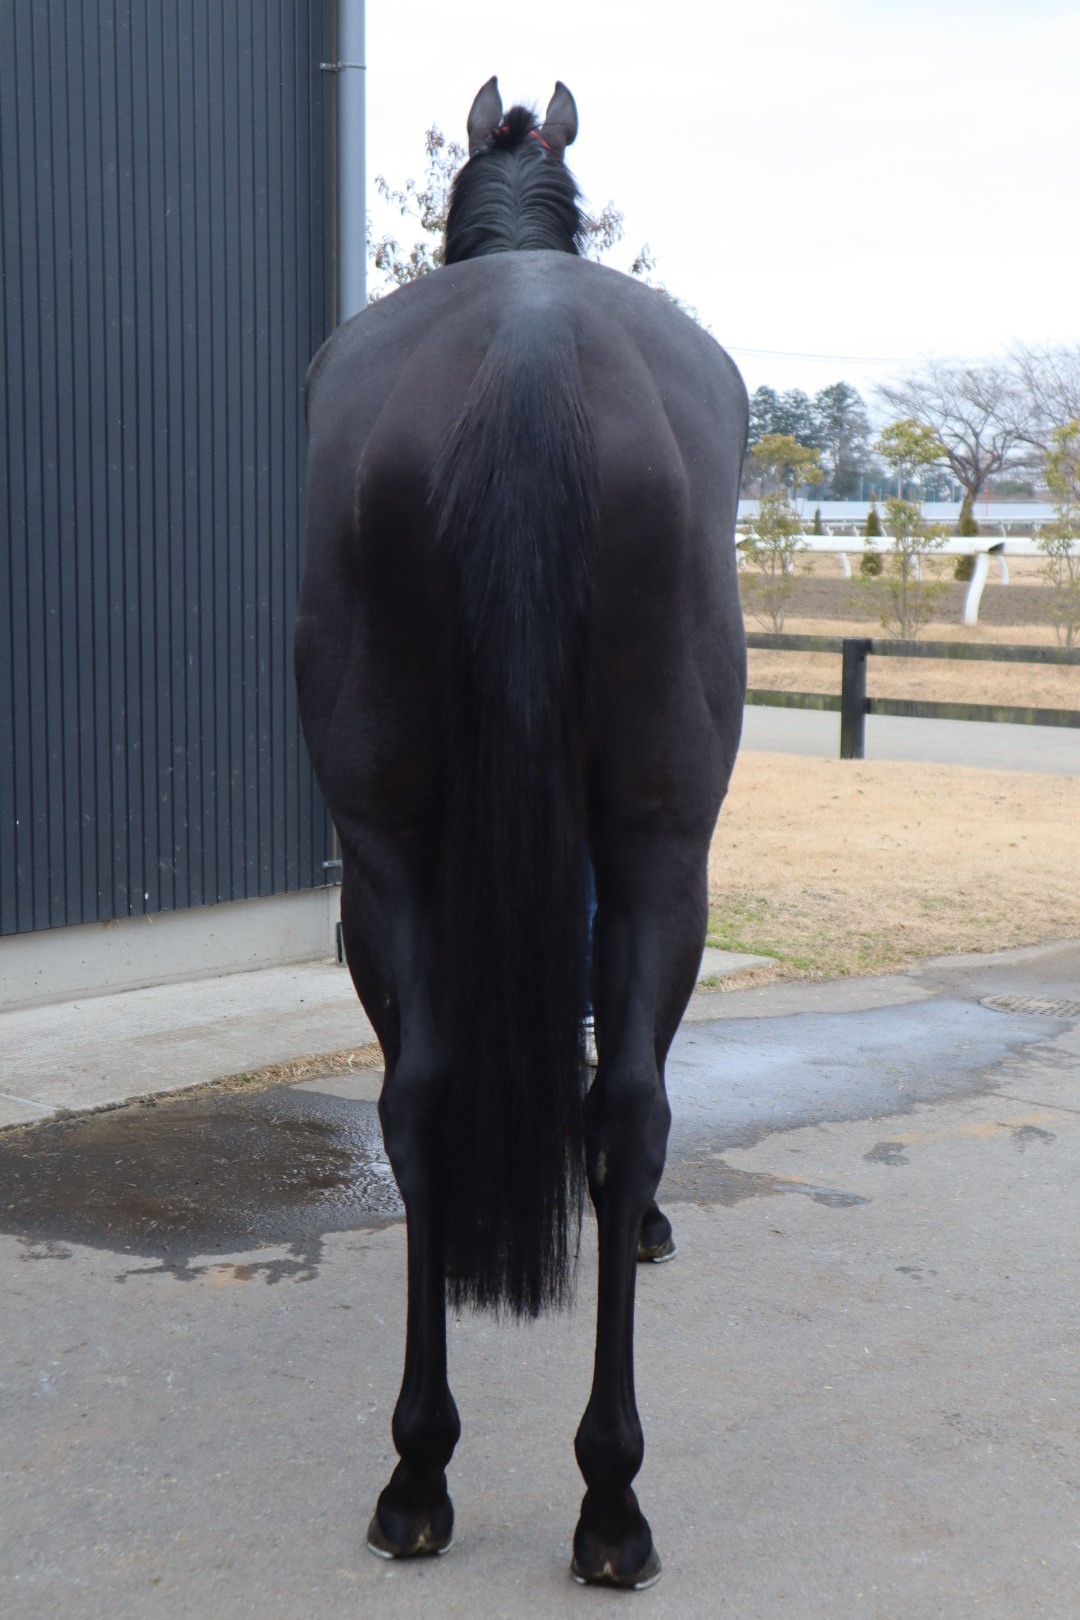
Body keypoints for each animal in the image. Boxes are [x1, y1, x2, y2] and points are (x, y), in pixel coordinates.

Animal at [295, 77, 747, 1590]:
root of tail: (533, 346)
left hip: (384, 843)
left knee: (425, 1095)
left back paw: (426, 1471)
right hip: (658, 846)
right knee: (629, 1109)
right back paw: (603, 1496)